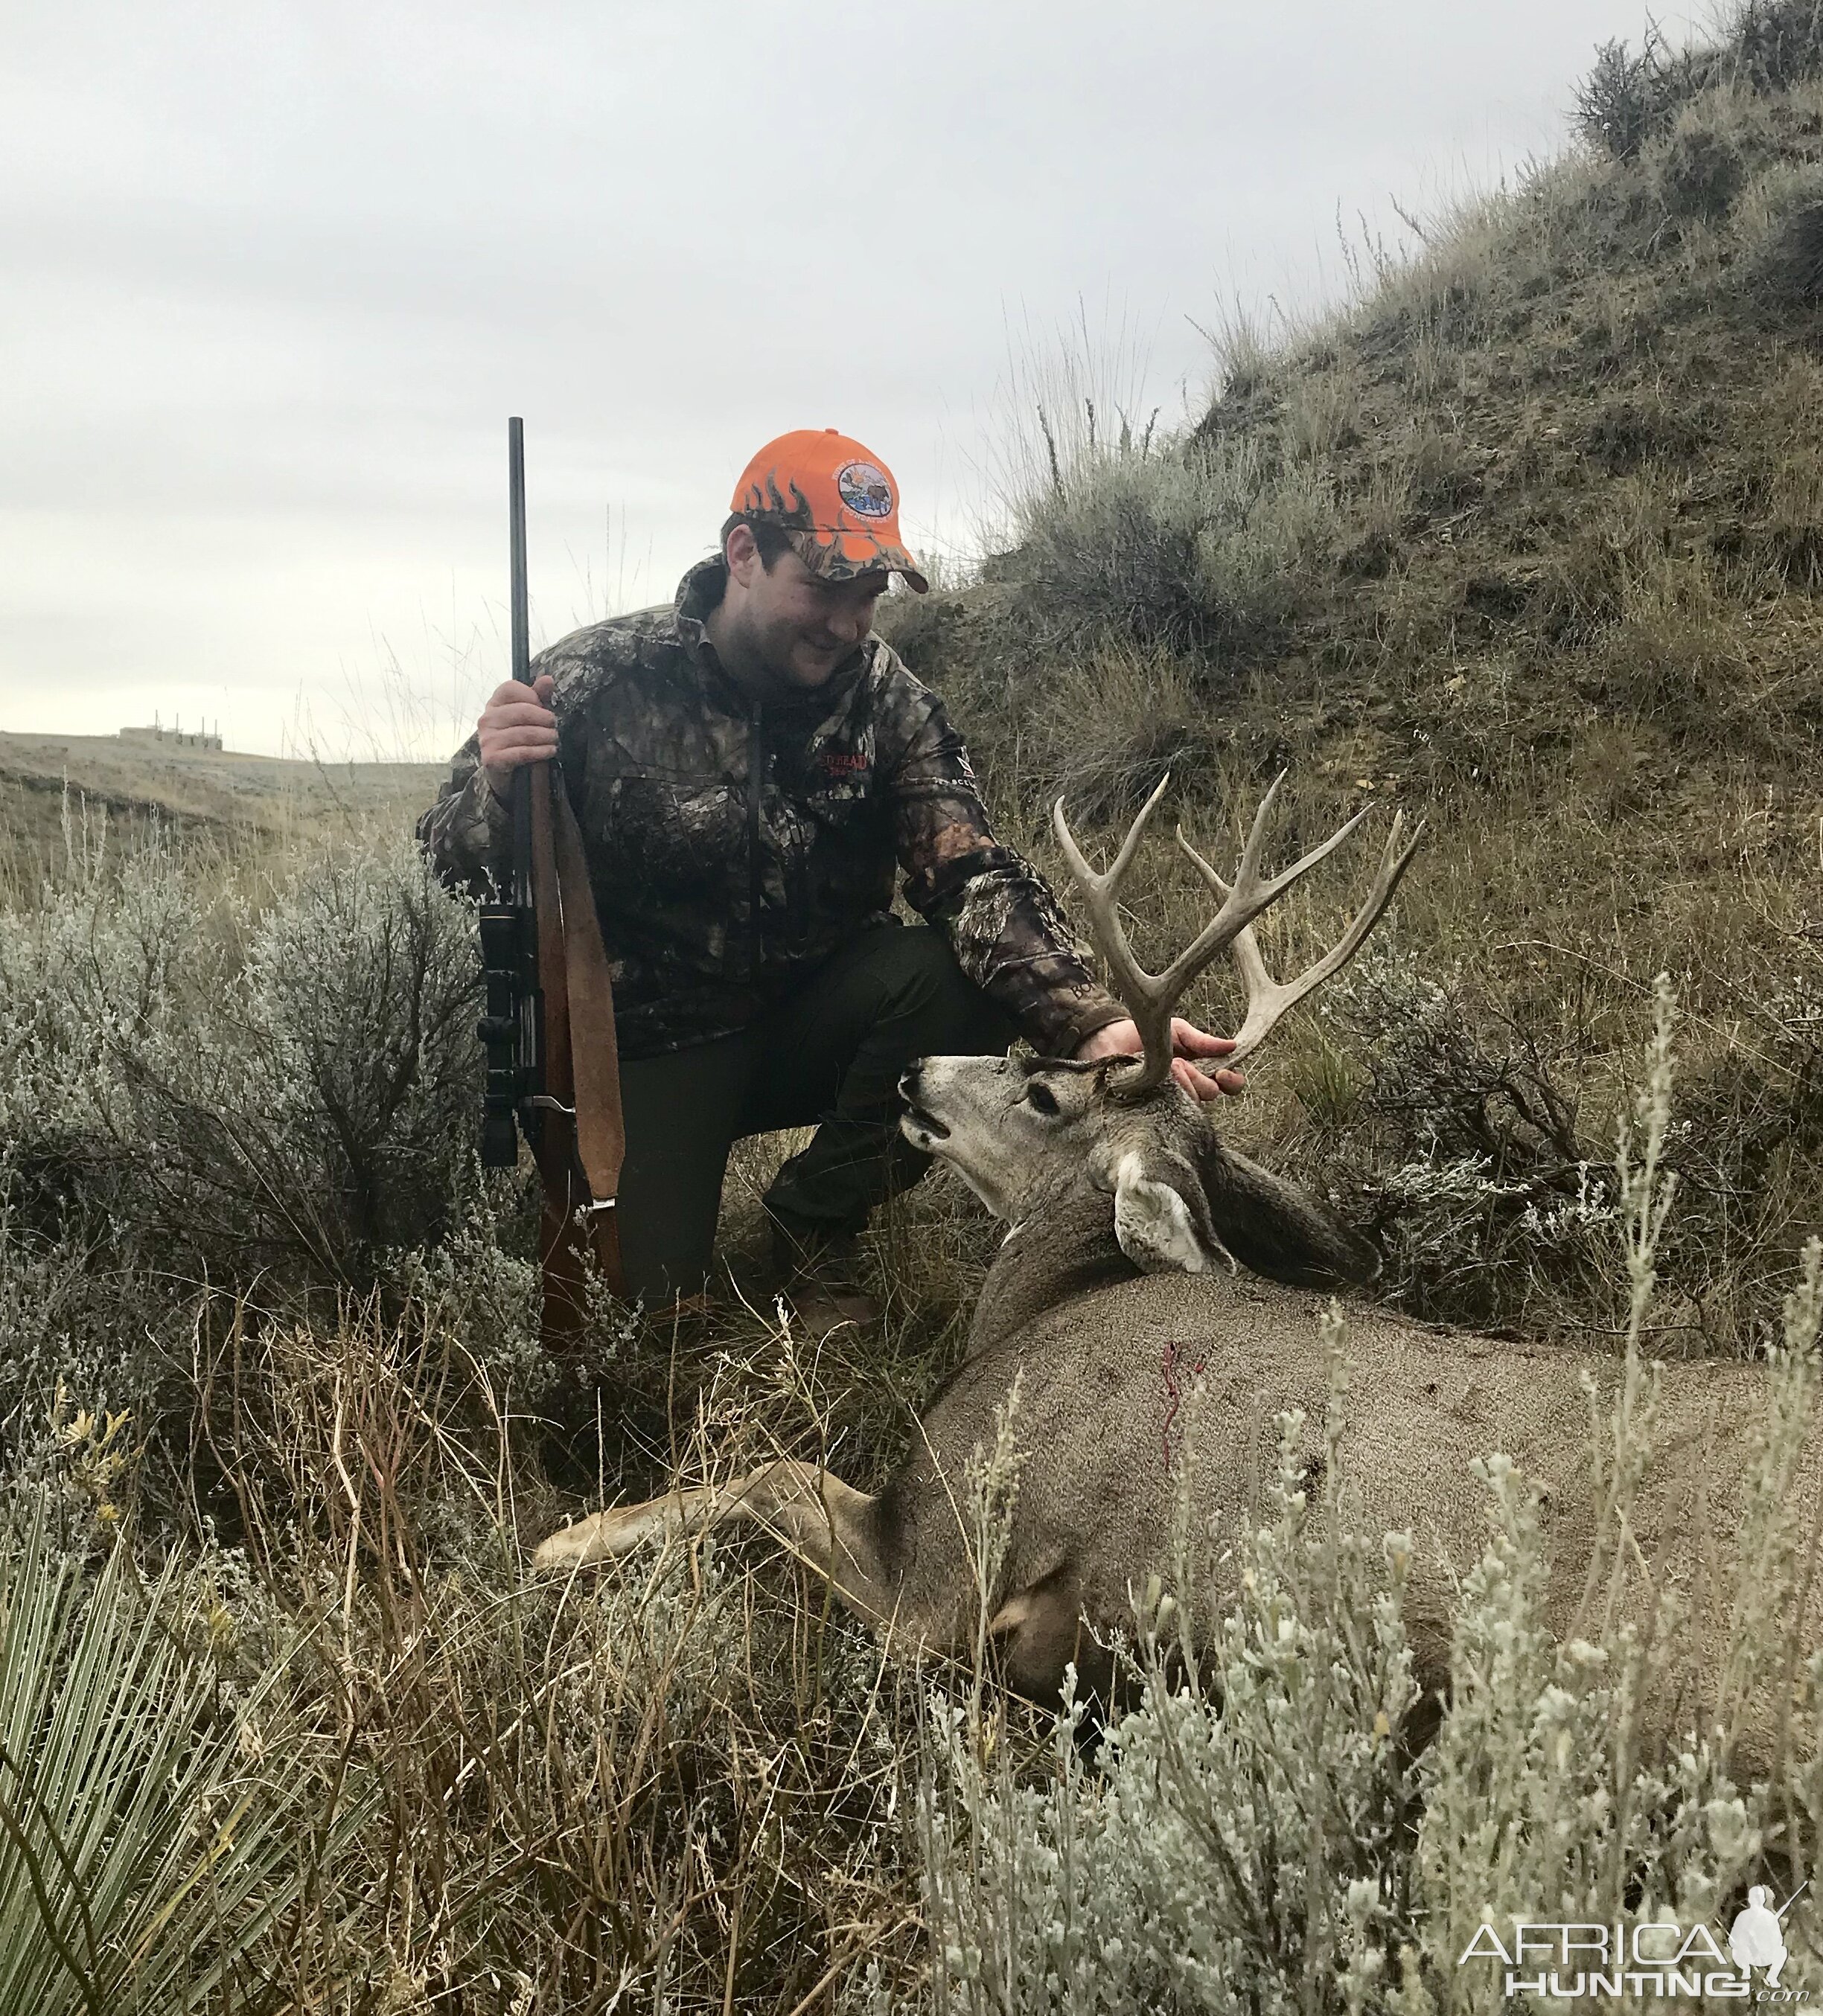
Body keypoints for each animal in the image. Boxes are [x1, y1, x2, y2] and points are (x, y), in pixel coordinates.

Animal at [532, 774, 1823, 1750]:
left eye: (1044, 1090)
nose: (913, 1075)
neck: (1038, 1310)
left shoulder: (944, 1566)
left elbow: (762, 1473)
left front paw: (563, 1540)